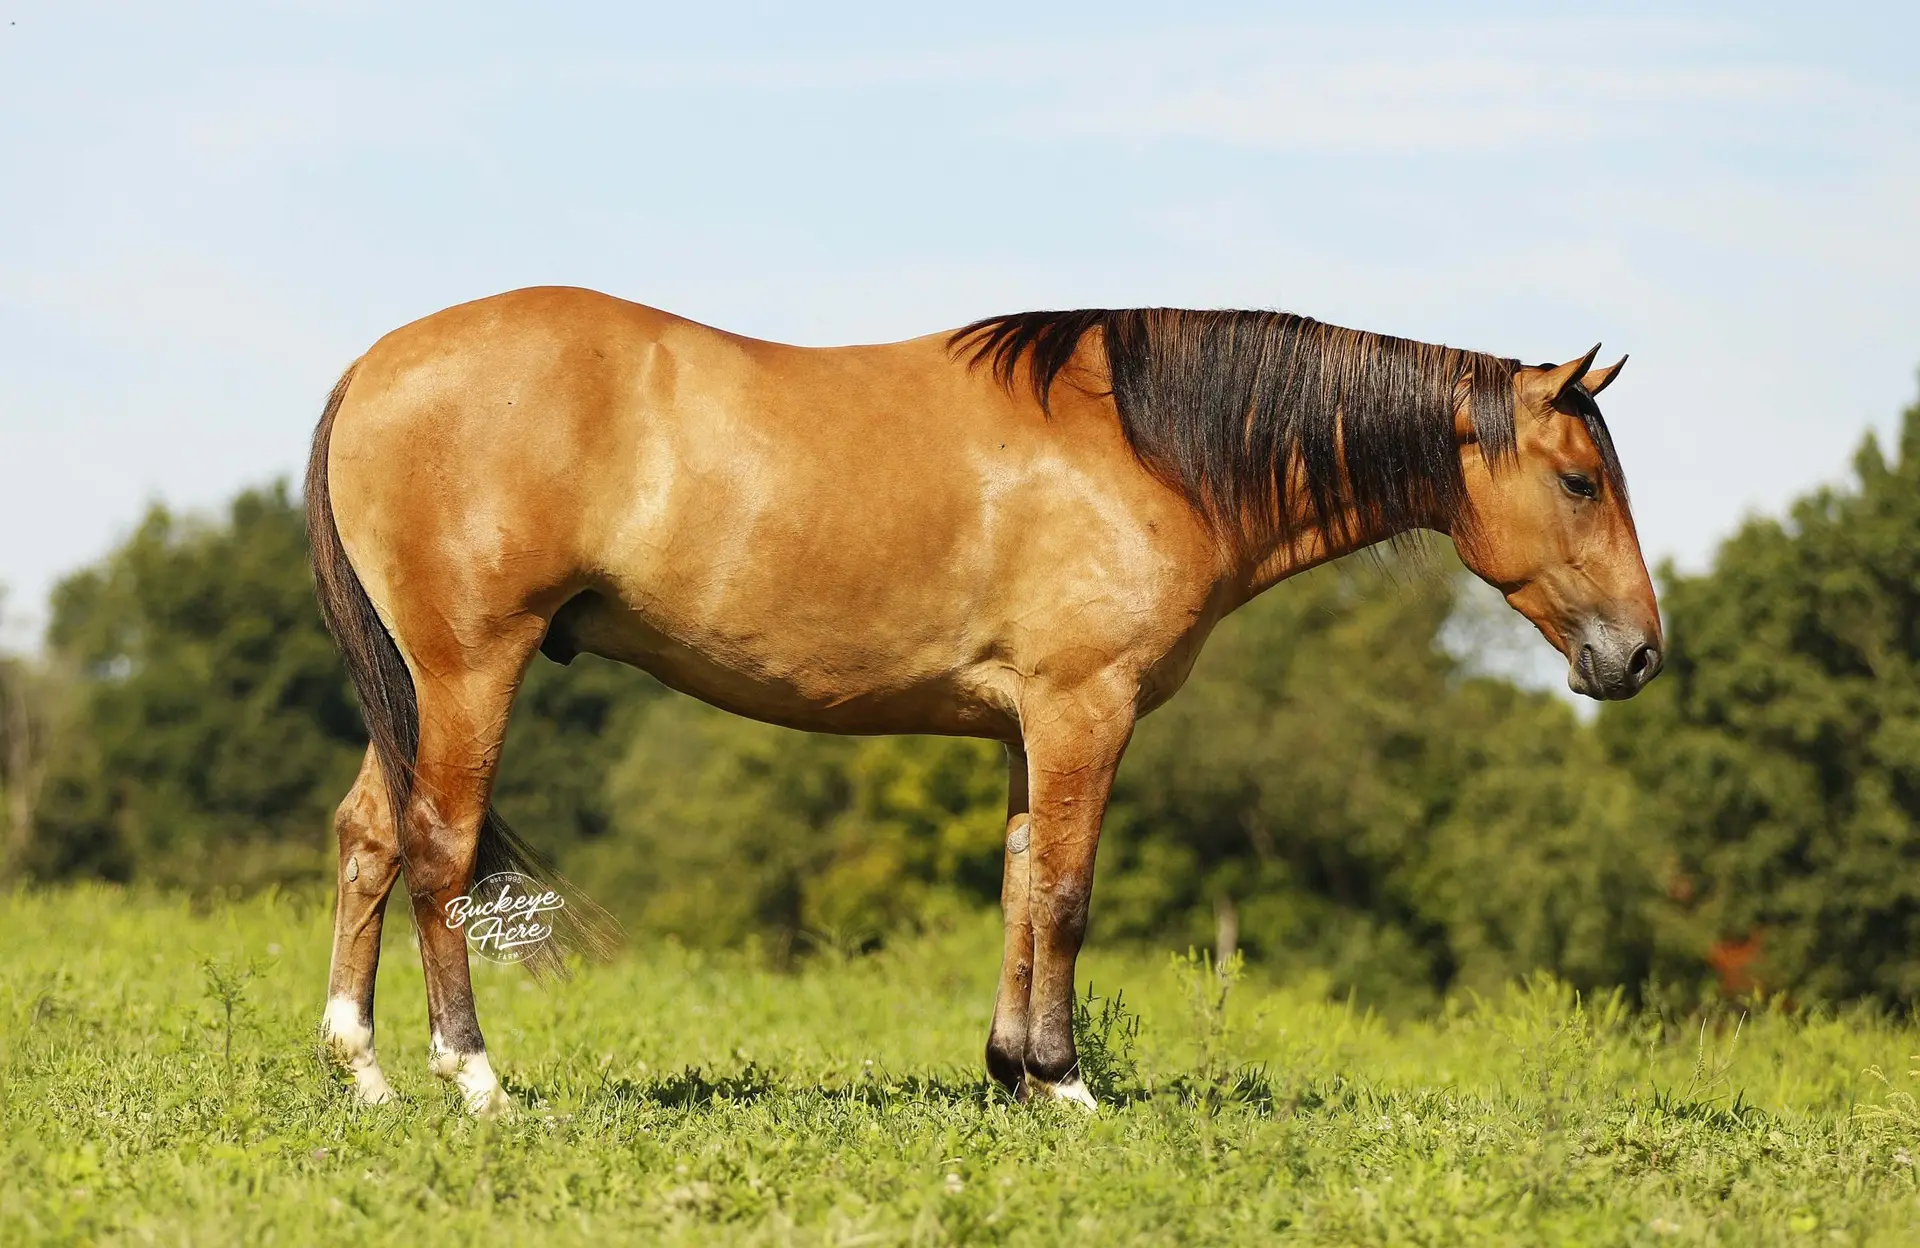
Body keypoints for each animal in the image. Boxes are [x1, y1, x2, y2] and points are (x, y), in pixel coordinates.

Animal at [306, 287, 1661, 1113]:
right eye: (1582, 481)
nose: (1640, 656)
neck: (1149, 447)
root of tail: (375, 365)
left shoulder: (1028, 727)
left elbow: (1019, 884)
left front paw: (1010, 1072)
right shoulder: (1084, 710)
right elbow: (1064, 893)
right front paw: (1064, 1080)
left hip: (417, 685)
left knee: (370, 838)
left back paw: (362, 1069)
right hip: (472, 669)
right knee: (438, 847)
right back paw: (472, 1076)